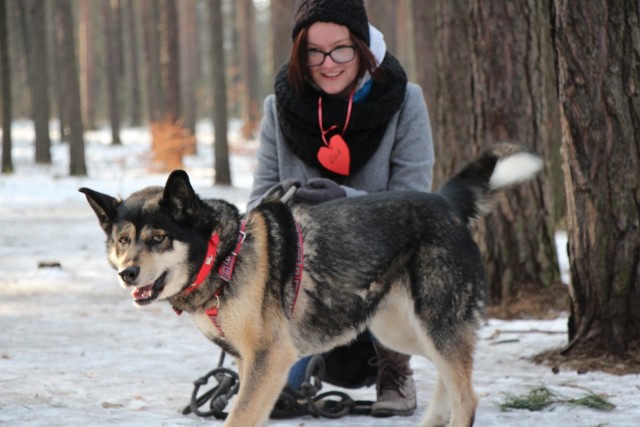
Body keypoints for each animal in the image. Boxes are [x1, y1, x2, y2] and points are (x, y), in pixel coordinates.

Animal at [79, 144, 540, 427]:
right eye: (124, 241)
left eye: (158, 238)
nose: (127, 274)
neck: (224, 255)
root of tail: (446, 203)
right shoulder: (252, 365)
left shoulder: (270, 359)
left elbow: (237, 417)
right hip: (402, 329)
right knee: (451, 378)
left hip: (434, 323)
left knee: (467, 396)